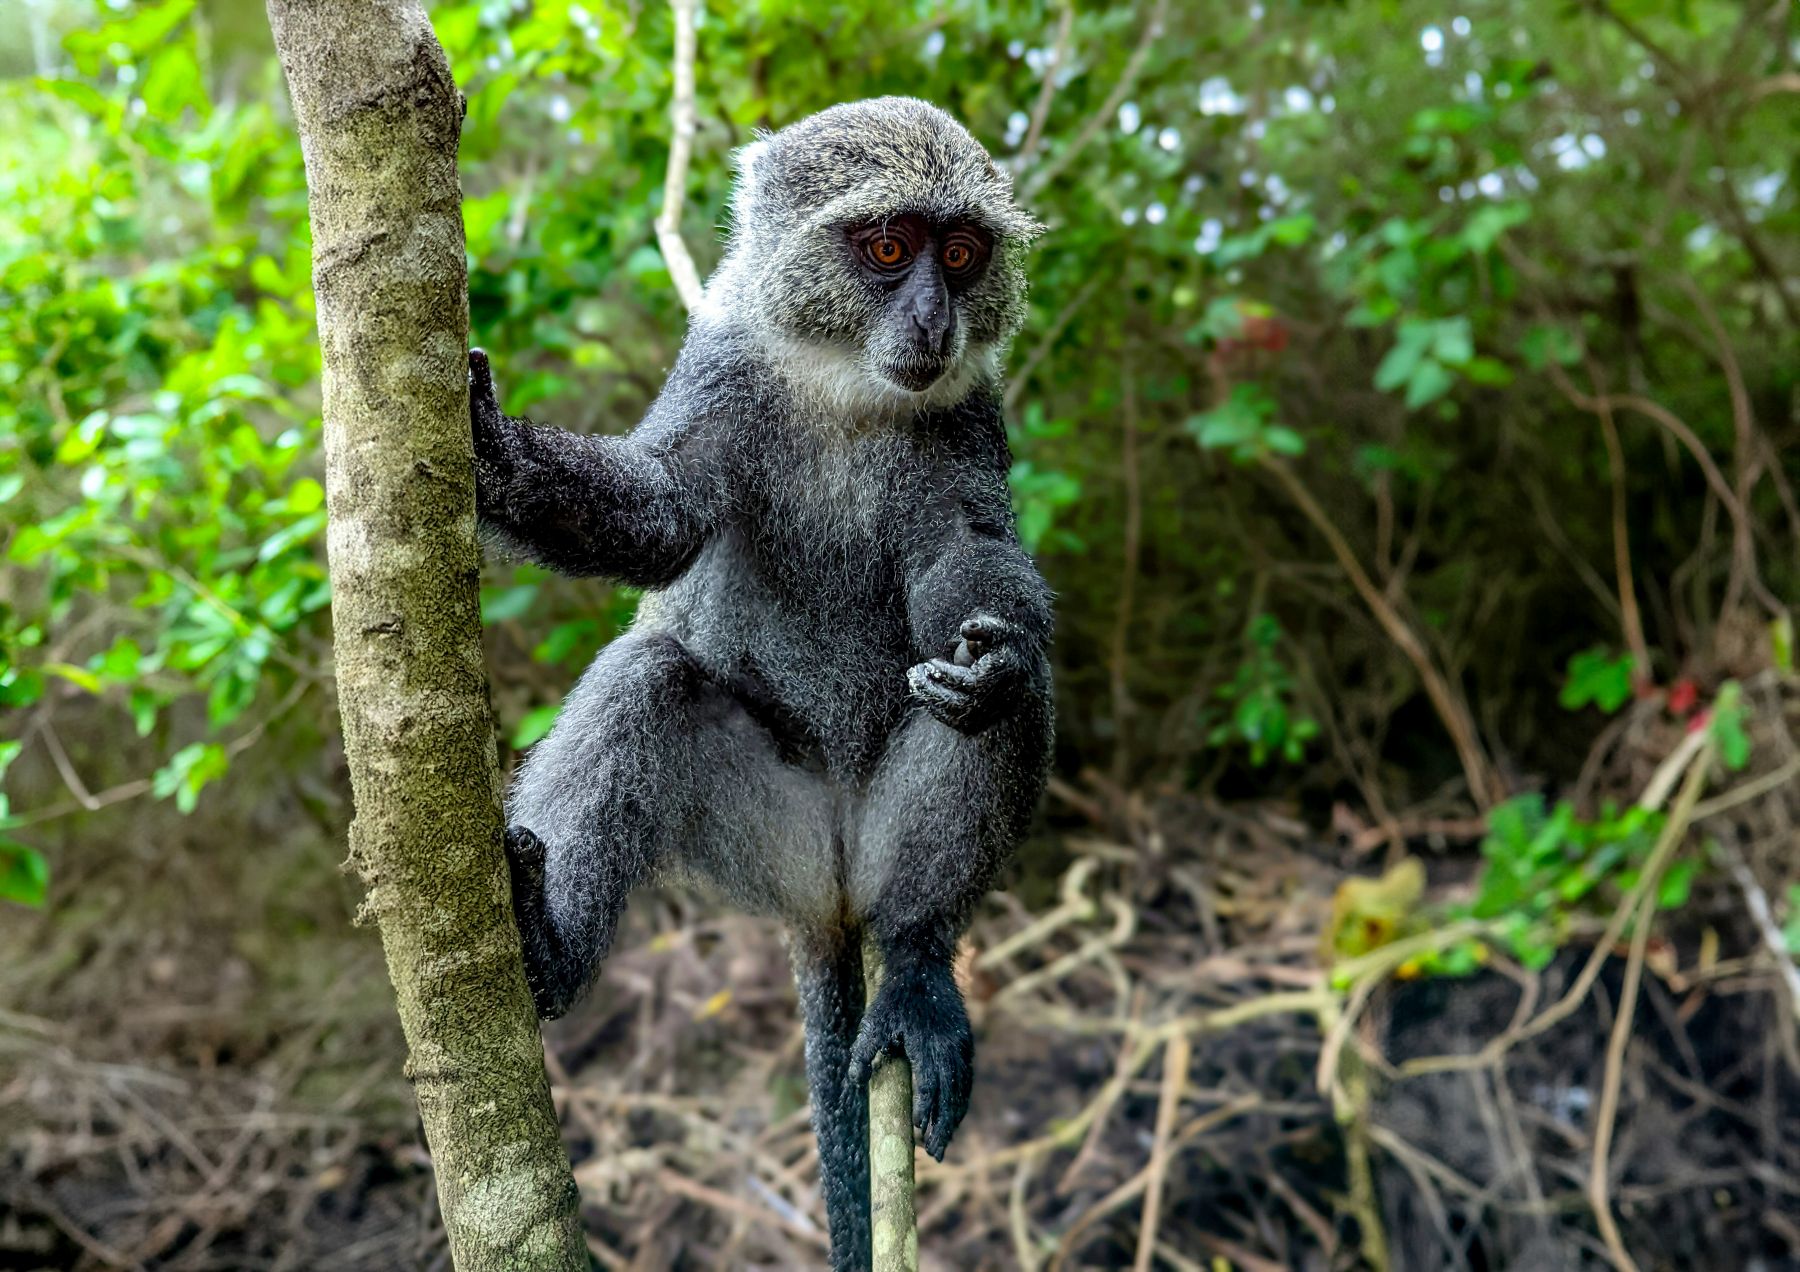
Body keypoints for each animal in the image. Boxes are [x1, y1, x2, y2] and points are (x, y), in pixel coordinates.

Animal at [469, 97, 1052, 1270]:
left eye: (963, 255)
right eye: (889, 249)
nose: (936, 323)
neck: (845, 388)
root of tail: (825, 894)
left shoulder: (965, 419)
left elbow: (965, 562)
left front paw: (1000, 658)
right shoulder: (726, 372)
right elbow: (664, 513)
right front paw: (496, 457)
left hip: (874, 838)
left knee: (1001, 722)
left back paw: (915, 971)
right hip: (758, 828)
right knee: (650, 678)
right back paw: (547, 949)